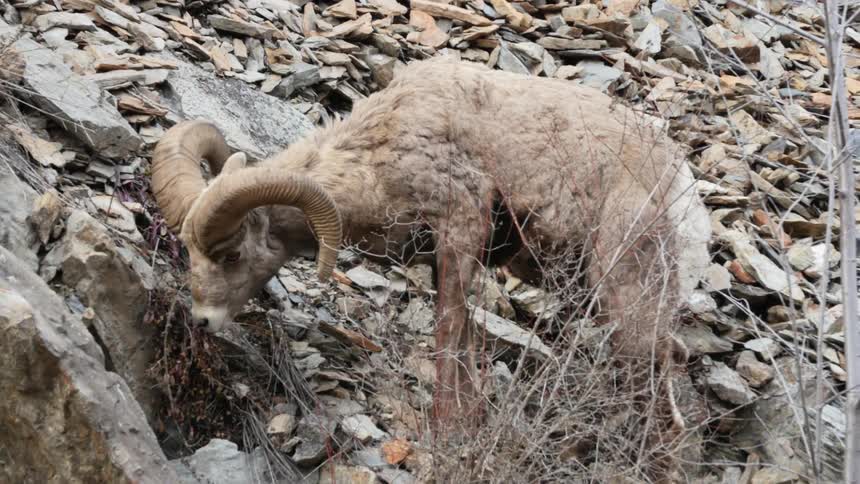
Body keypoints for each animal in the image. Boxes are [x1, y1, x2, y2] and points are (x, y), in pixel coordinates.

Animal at [150, 55, 711, 444]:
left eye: (230, 256)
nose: (201, 321)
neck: (380, 151)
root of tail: (682, 190)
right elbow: (460, 340)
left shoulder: (461, 227)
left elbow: (448, 334)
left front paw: (448, 429)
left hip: (625, 293)